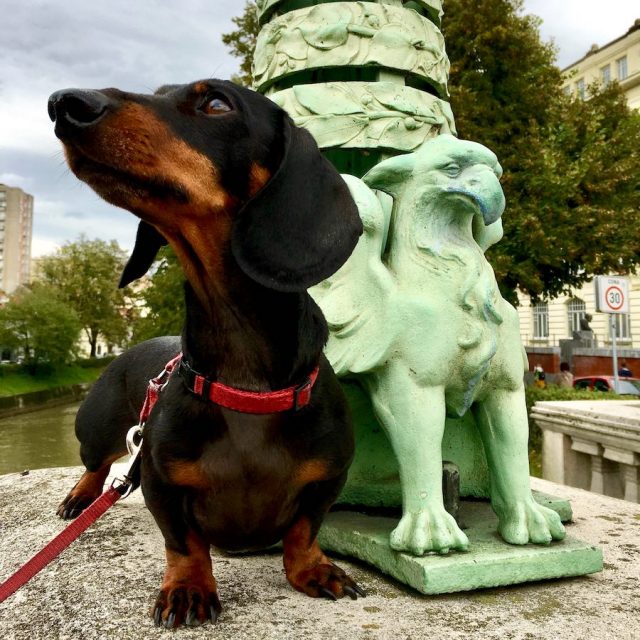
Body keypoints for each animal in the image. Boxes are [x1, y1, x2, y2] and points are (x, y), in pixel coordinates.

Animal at [47, 79, 362, 624]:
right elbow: (184, 543)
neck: (245, 382)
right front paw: (188, 588)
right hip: (97, 428)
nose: (63, 103)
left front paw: (314, 569)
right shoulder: (160, 482)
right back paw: (80, 498)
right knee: (96, 464)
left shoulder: (330, 476)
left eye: (216, 103)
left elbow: (304, 530)